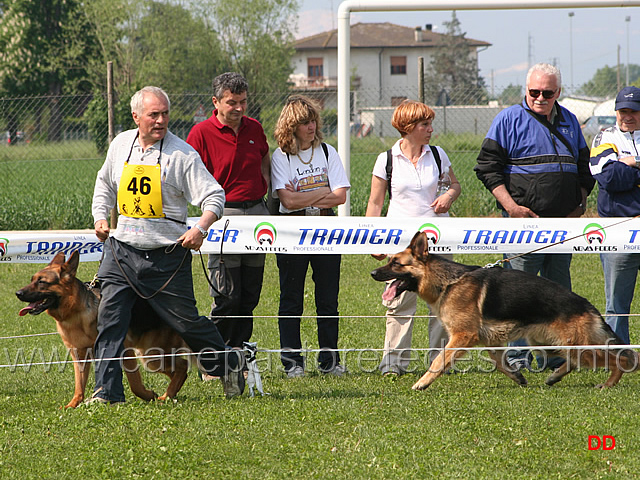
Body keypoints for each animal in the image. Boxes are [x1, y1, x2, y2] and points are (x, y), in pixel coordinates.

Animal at [16, 251, 189, 408]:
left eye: (42, 282)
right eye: (32, 280)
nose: (18, 293)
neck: (75, 313)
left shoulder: (124, 352)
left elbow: (134, 383)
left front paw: (147, 395)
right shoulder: (79, 356)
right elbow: (79, 386)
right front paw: (72, 406)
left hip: (151, 355)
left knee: (182, 366)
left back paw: (166, 396)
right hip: (150, 358)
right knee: (180, 370)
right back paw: (170, 394)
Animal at [372, 231, 636, 392]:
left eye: (396, 263)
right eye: (389, 260)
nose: (373, 273)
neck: (448, 282)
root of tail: (587, 305)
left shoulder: (463, 336)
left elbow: (438, 360)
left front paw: (422, 383)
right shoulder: (490, 341)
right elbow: (500, 363)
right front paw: (518, 377)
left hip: (574, 343)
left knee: (621, 358)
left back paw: (608, 383)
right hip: (545, 341)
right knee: (575, 361)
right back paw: (554, 377)